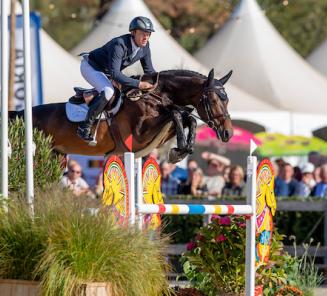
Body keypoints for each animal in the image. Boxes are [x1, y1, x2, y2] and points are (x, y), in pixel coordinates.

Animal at [9, 68, 234, 163]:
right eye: (214, 100)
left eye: (227, 100)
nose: (228, 133)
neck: (154, 96)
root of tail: (20, 114)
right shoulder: (138, 137)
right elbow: (177, 114)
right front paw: (179, 151)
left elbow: (187, 117)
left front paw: (183, 149)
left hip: (57, 156)